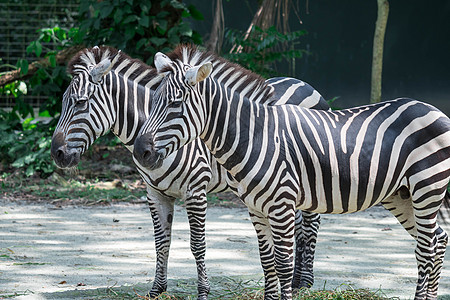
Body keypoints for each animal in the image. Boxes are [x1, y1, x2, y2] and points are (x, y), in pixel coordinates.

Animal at [51, 45, 328, 298]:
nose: (57, 154)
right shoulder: (155, 193)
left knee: (311, 224)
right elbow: (161, 242)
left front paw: (203, 291)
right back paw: (294, 280)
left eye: (80, 103)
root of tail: (302, 82)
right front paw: (157, 289)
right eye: (63, 103)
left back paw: (305, 282)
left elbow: (197, 245)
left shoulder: (196, 191)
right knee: (299, 224)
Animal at [134, 45, 450, 300]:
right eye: (152, 100)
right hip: (402, 194)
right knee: (436, 240)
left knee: (426, 248)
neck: (256, 136)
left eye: (175, 104)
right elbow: (267, 262)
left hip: (427, 188)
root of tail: (433, 108)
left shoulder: (281, 205)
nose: (140, 151)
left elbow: (283, 265)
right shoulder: (255, 209)